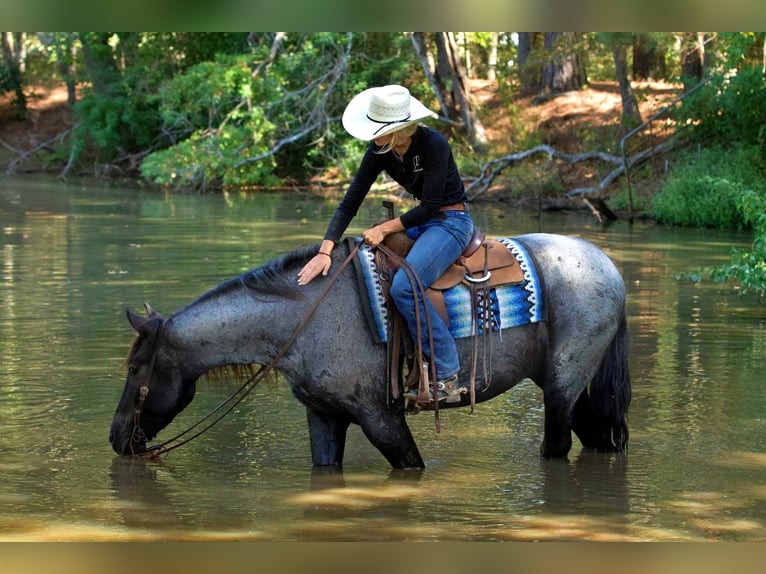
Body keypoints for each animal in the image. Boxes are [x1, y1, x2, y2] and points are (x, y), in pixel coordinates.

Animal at [111, 232, 632, 470]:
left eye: (136, 368)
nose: (116, 438)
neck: (306, 321)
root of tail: (609, 267)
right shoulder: (324, 417)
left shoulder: (381, 418)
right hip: (569, 387)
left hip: (562, 385)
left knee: (557, 447)